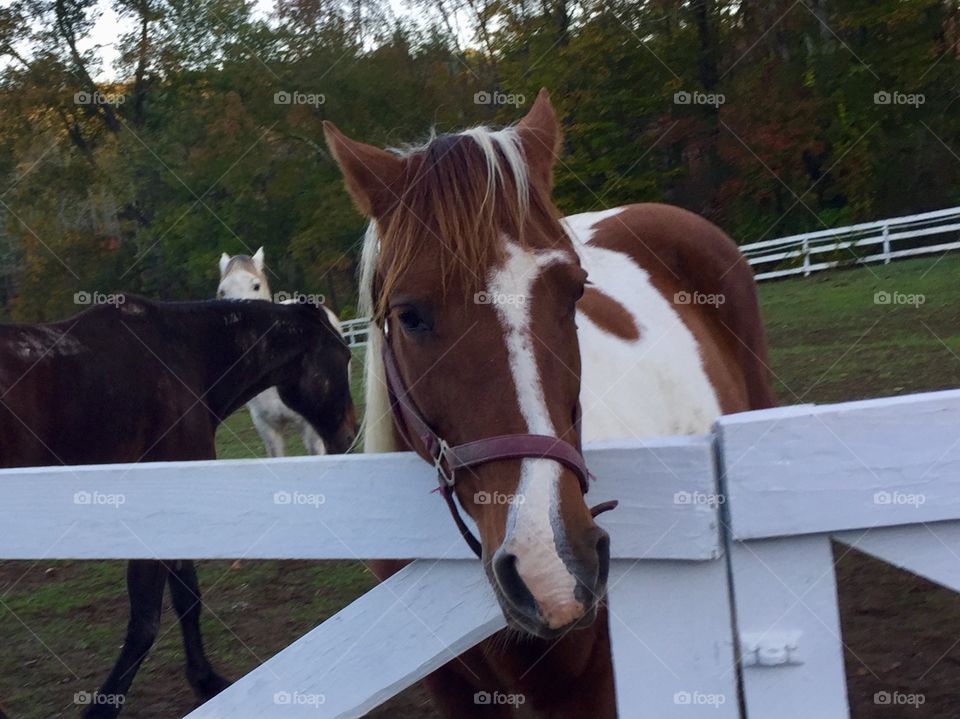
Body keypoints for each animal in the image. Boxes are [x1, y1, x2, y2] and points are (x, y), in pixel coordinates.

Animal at [0, 296, 358, 716]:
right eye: (345, 355)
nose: (351, 434)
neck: (183, 355)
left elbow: (187, 599)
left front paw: (205, 679)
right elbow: (147, 621)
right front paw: (104, 706)